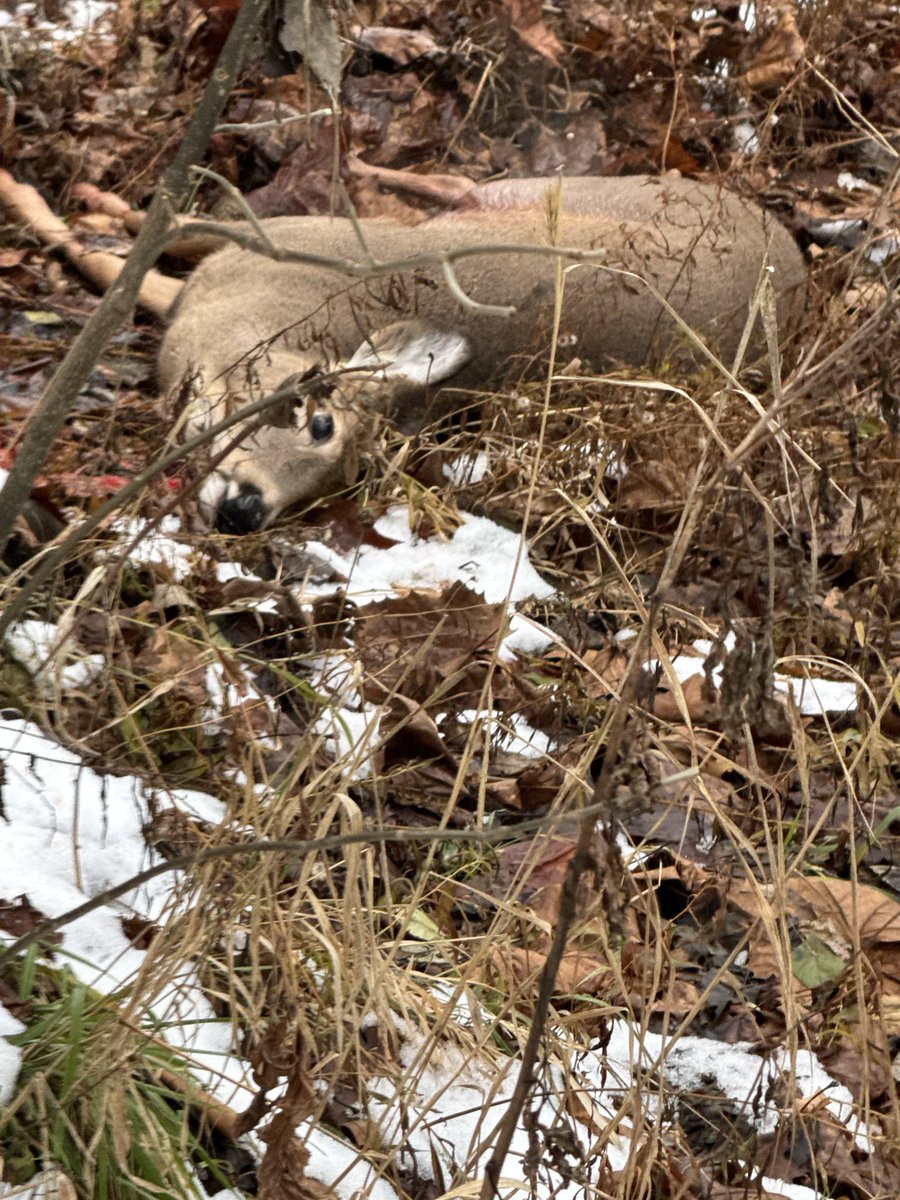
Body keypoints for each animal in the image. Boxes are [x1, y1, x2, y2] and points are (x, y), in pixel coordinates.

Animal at [1, 172, 806, 533]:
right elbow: (152, 233)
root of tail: (797, 265)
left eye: (336, 481)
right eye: (317, 420)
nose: (246, 509)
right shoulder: (261, 240)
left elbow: (117, 263)